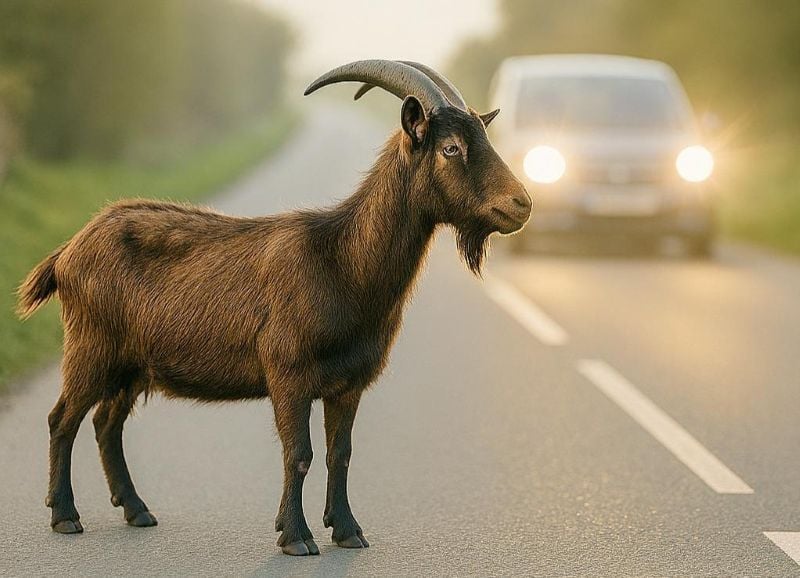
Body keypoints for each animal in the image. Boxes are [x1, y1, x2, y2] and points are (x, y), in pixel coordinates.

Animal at [17, 60, 531, 556]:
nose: (522, 203)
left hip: (131, 362)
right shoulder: (289, 373)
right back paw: (65, 516)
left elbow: (340, 454)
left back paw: (137, 509)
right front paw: (296, 536)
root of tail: (69, 249)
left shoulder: (349, 383)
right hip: (91, 346)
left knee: (107, 423)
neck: (341, 260)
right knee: (62, 419)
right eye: (450, 148)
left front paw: (347, 530)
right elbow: (298, 454)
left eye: (482, 137)